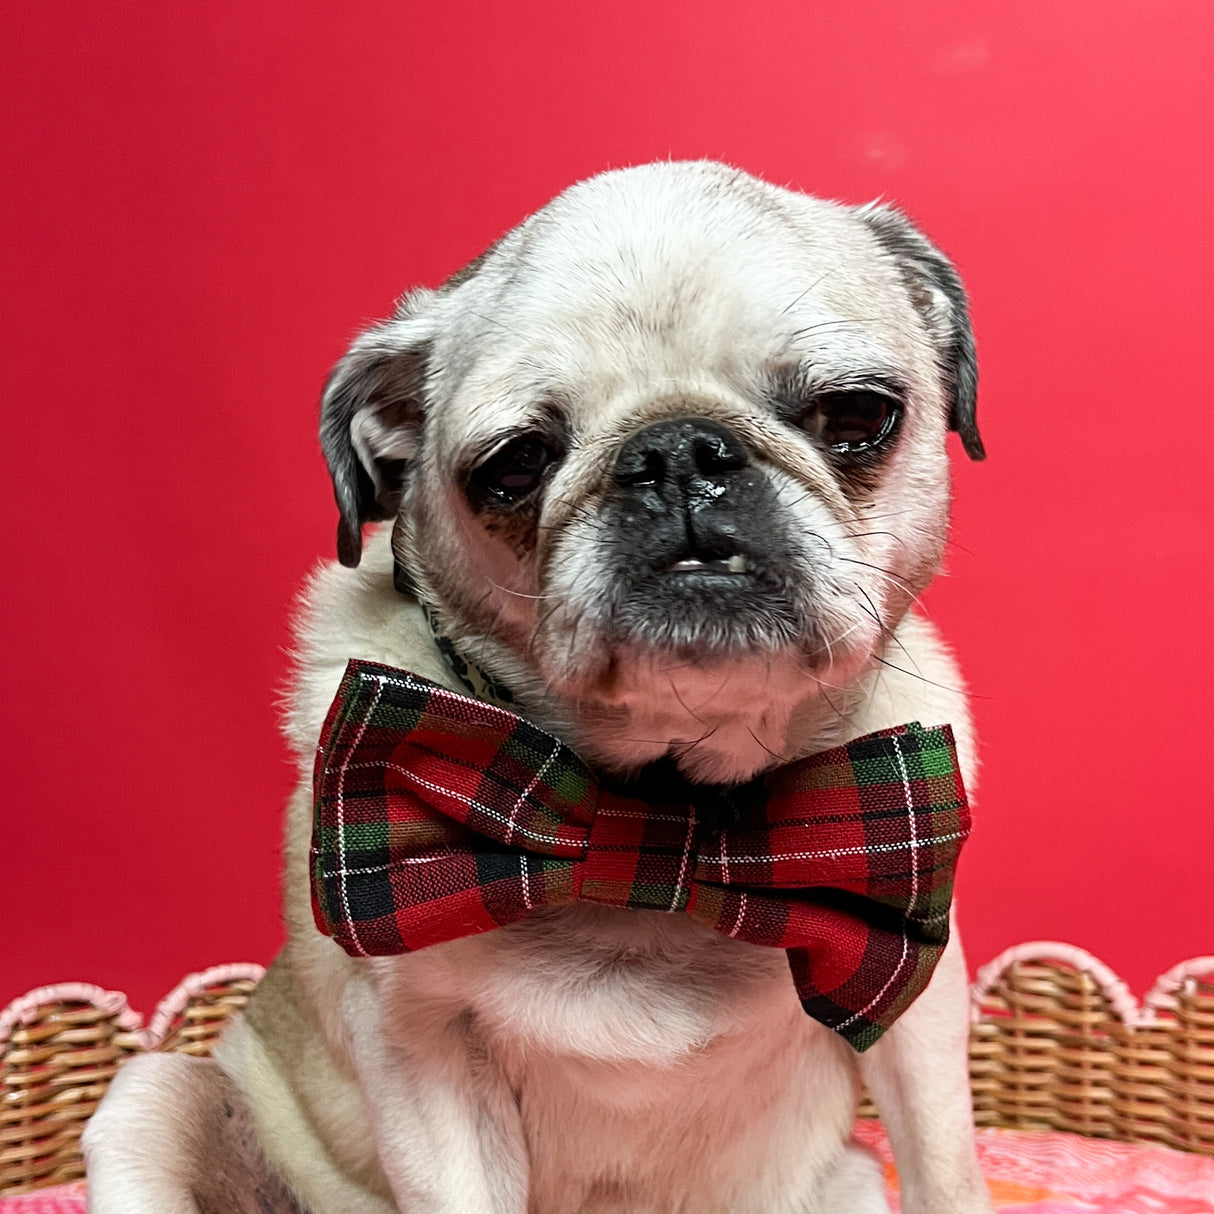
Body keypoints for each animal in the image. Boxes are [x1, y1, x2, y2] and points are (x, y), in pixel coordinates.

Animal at [85, 161, 995, 1214]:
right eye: (517, 465)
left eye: (855, 416)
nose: (676, 450)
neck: (661, 807)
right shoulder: (422, 1056)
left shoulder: (918, 1005)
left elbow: (945, 1170)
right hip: (151, 1101)